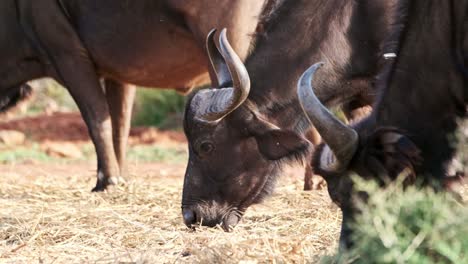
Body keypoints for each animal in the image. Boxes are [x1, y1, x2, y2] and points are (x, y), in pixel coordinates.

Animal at [0, 0, 266, 190]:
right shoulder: (118, 75)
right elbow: (120, 124)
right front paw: (120, 176)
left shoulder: (68, 56)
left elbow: (97, 120)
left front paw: (107, 181)